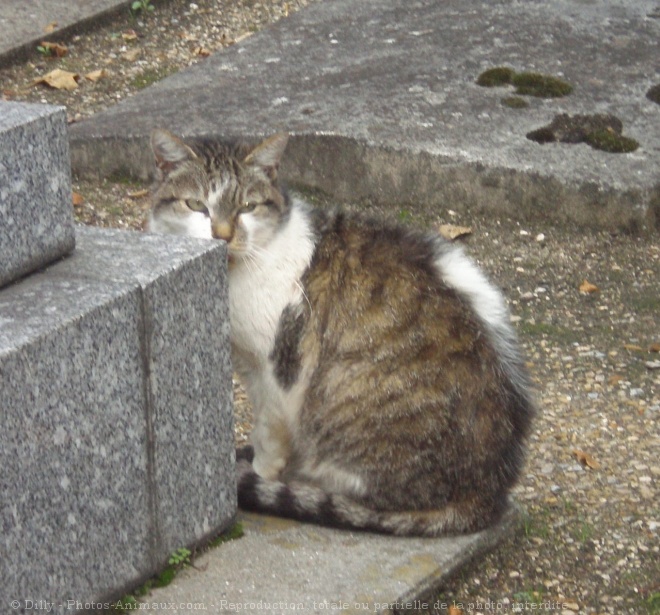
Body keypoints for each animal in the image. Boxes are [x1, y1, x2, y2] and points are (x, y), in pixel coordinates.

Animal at [147, 130, 532, 540]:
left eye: (247, 207)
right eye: (196, 205)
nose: (222, 235)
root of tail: (488, 491)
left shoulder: (273, 370)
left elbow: (268, 434)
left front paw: (260, 473)